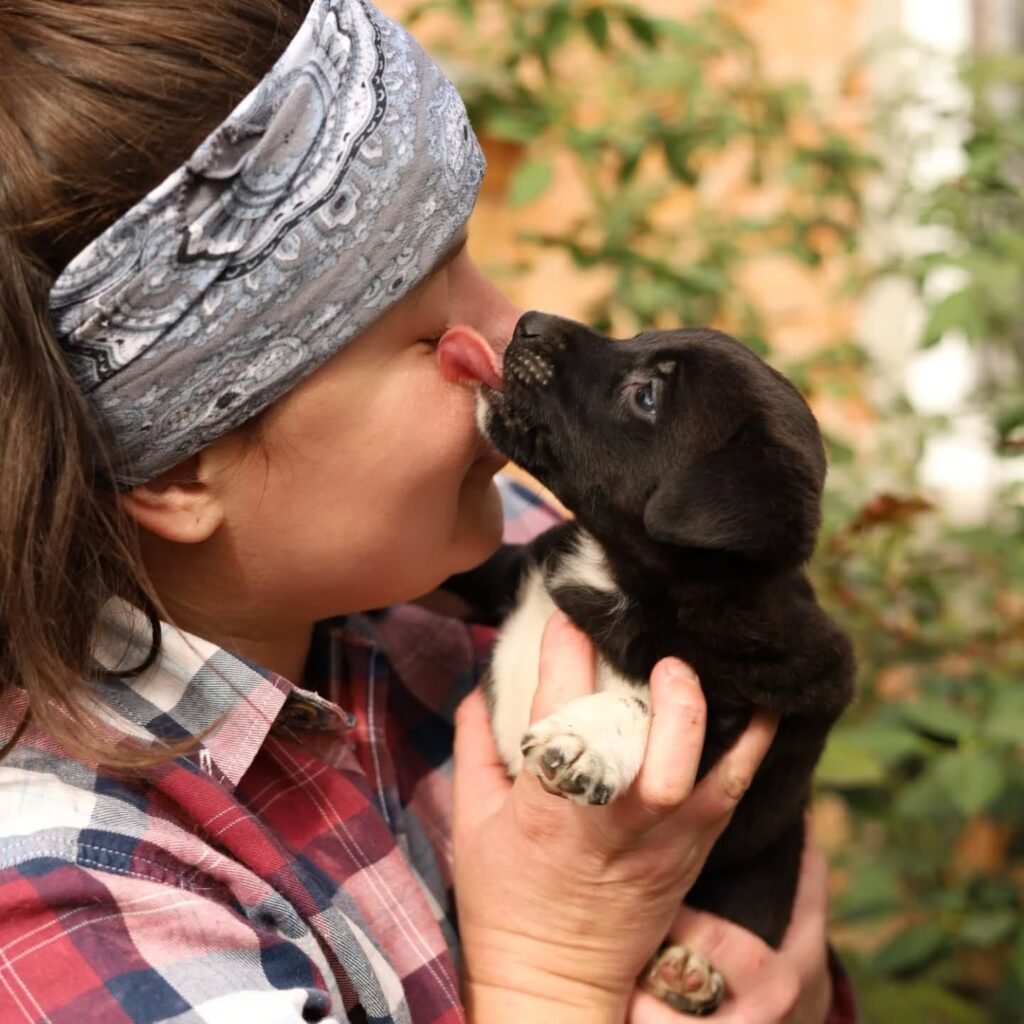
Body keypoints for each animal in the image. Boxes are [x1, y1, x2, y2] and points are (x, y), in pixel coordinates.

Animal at [446, 310, 855, 1015]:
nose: (528, 322)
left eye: (647, 397)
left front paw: (585, 740)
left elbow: (645, 698)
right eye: (639, 339)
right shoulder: (512, 573)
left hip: (772, 865)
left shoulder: (750, 701)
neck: (615, 574)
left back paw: (690, 971)